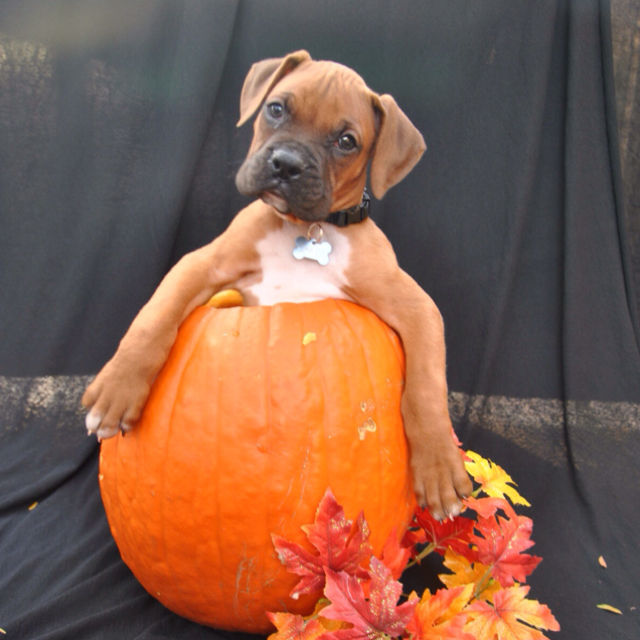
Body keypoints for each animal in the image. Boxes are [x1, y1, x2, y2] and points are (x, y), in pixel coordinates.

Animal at [82, 50, 472, 521]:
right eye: (276, 109)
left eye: (347, 141)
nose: (286, 163)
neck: (306, 229)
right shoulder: (201, 265)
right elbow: (152, 319)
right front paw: (117, 390)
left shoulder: (416, 305)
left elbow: (427, 386)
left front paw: (438, 465)